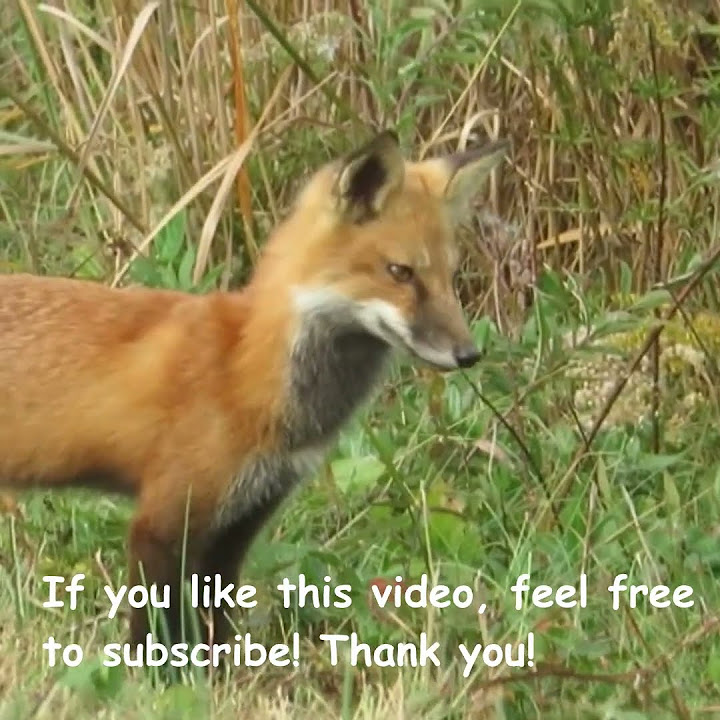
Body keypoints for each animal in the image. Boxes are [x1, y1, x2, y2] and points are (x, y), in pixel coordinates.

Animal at [0, 130, 508, 649]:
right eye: (401, 273)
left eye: (449, 276)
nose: (469, 354)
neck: (248, 372)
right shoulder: (162, 521)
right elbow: (154, 640)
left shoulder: (241, 523)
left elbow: (216, 634)